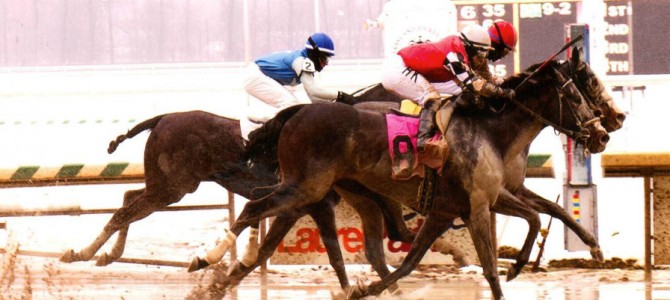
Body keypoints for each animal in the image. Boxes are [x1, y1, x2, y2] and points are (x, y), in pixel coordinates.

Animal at [198, 61, 608, 300]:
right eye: (577, 95)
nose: (602, 133)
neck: (492, 131)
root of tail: (297, 111)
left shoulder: (464, 204)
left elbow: (411, 260)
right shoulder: (478, 205)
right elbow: (495, 261)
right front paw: (514, 266)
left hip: (344, 193)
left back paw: (222, 275)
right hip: (306, 186)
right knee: (255, 206)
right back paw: (210, 259)